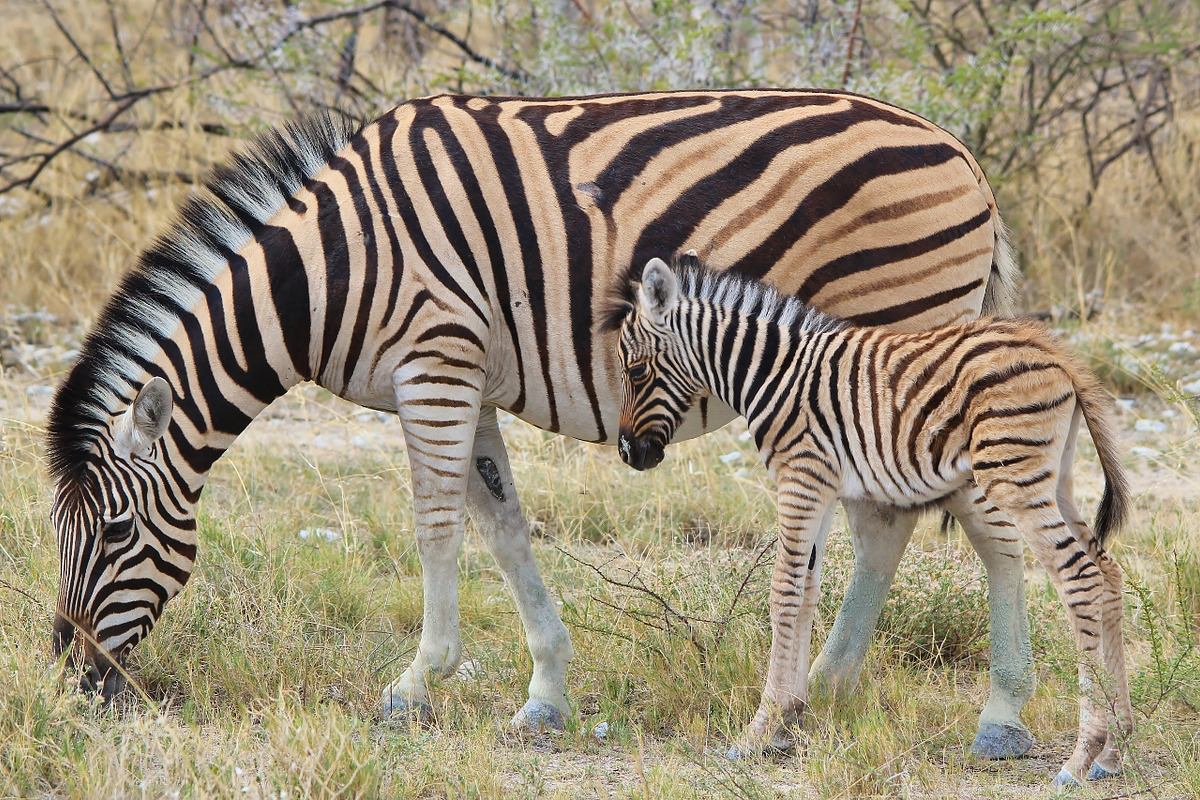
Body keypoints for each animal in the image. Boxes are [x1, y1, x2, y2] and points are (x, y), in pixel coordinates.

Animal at [45, 89, 1030, 754]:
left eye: (118, 533)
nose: (68, 682)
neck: (329, 273)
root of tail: (964, 153)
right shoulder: (467, 384)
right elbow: (503, 525)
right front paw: (544, 693)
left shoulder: (435, 364)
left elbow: (437, 526)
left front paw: (415, 686)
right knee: (896, 524)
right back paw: (830, 688)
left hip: (897, 343)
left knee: (926, 524)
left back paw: (953, 709)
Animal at [608, 256, 1132, 786]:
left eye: (635, 369)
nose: (630, 453)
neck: (771, 374)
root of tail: (1054, 352)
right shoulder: (820, 487)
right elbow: (806, 592)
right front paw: (787, 720)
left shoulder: (801, 476)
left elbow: (783, 592)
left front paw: (757, 732)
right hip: (1056, 478)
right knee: (1108, 574)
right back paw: (1113, 750)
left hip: (1015, 477)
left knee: (1080, 578)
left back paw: (1080, 757)